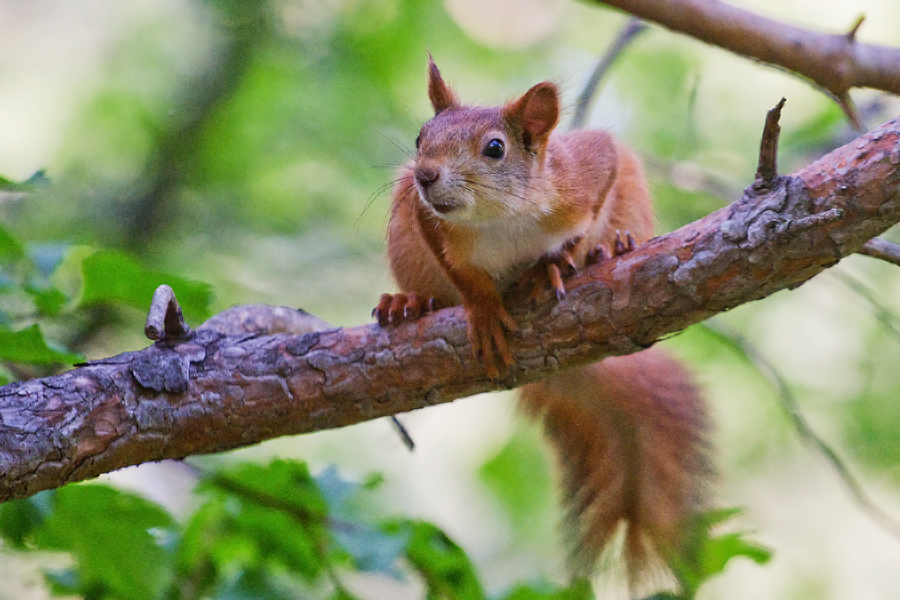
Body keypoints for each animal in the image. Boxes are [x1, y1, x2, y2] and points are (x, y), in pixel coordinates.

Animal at [372, 58, 712, 584]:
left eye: (495, 148)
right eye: (419, 138)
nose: (425, 175)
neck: (500, 219)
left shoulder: (584, 173)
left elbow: (581, 216)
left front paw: (552, 266)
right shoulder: (424, 214)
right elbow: (462, 276)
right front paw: (484, 308)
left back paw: (611, 248)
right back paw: (408, 302)